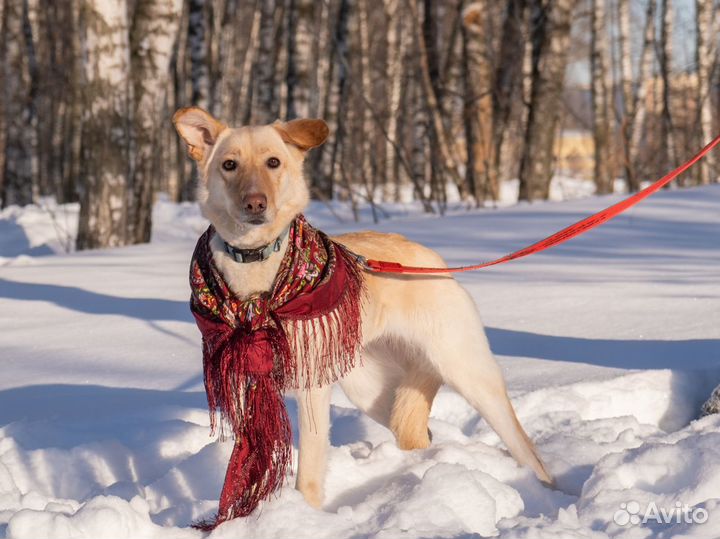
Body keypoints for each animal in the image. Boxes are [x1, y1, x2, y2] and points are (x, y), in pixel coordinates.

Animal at [173, 106, 552, 510]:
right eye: (229, 164)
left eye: (273, 162)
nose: (255, 203)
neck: (256, 267)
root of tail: (434, 261)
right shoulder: (244, 383)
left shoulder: (312, 386)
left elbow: (308, 468)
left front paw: (304, 513)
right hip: (371, 391)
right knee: (421, 433)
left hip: (470, 374)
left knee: (529, 451)